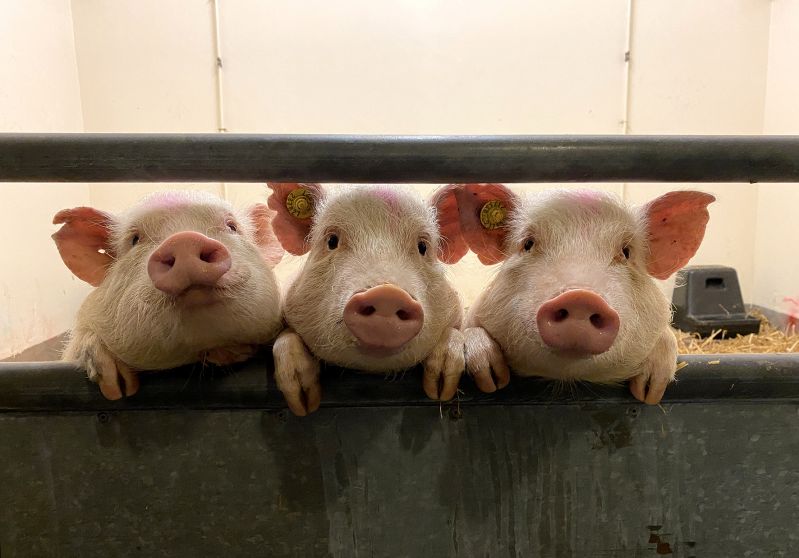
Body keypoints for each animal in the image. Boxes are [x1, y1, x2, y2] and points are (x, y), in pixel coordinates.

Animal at [266, 183, 468, 416]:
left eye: (423, 247)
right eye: (332, 241)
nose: (387, 295)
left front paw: (441, 390)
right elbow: (287, 336)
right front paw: (302, 404)